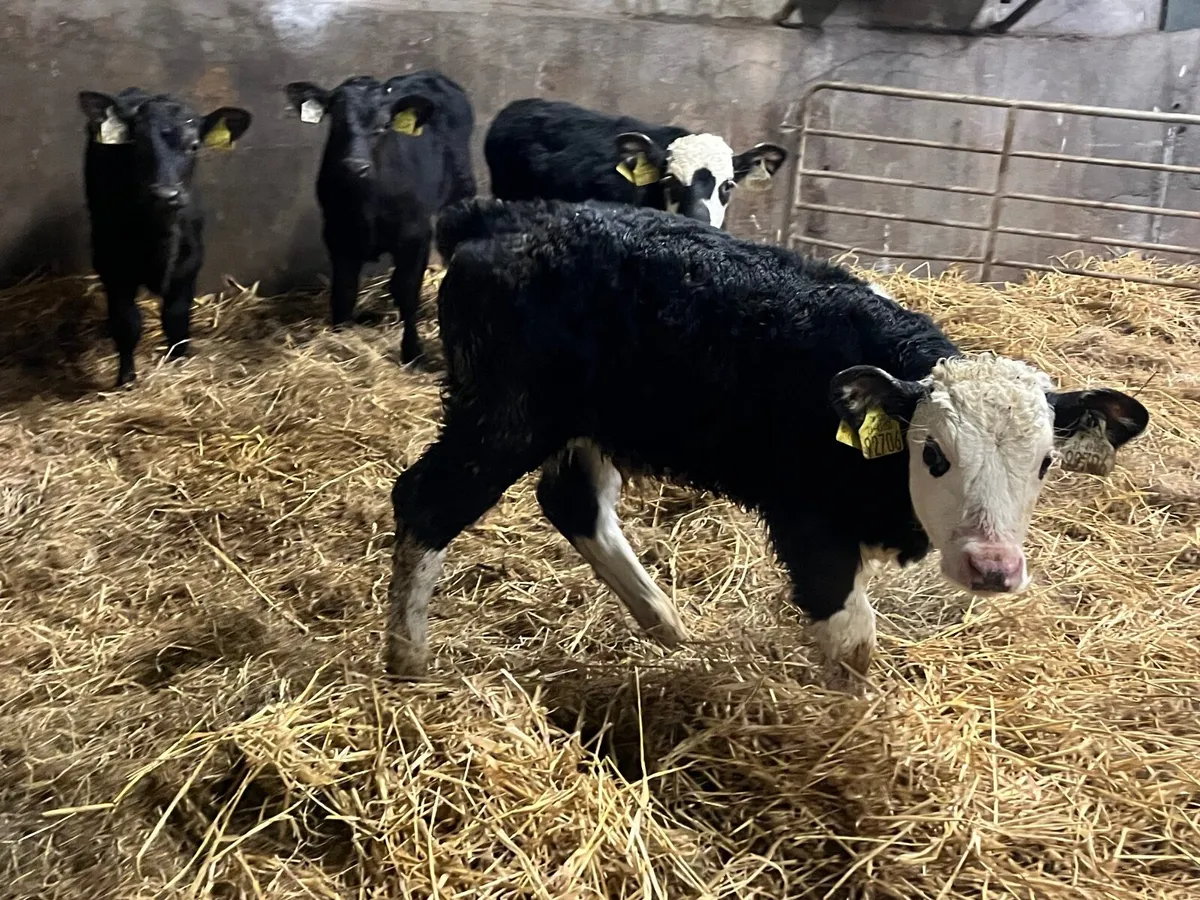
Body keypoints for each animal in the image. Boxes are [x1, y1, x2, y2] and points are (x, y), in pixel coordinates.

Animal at [78, 88, 252, 387]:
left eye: (194, 145)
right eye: (137, 144)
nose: (166, 194)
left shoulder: (190, 263)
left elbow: (176, 318)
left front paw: (179, 364)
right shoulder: (115, 268)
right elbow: (127, 323)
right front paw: (126, 379)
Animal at [285, 72, 476, 365]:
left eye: (385, 125)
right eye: (337, 120)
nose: (355, 166)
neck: (367, 202)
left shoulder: (416, 235)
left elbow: (408, 292)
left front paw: (412, 351)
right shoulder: (337, 235)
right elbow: (344, 293)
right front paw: (340, 341)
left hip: (461, 188)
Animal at [383, 198, 1149, 690]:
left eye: (1044, 463)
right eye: (934, 455)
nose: (993, 567)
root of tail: (499, 218)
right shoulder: (806, 518)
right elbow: (852, 642)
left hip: (584, 421)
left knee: (574, 502)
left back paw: (667, 625)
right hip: (506, 414)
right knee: (427, 501)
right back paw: (408, 662)